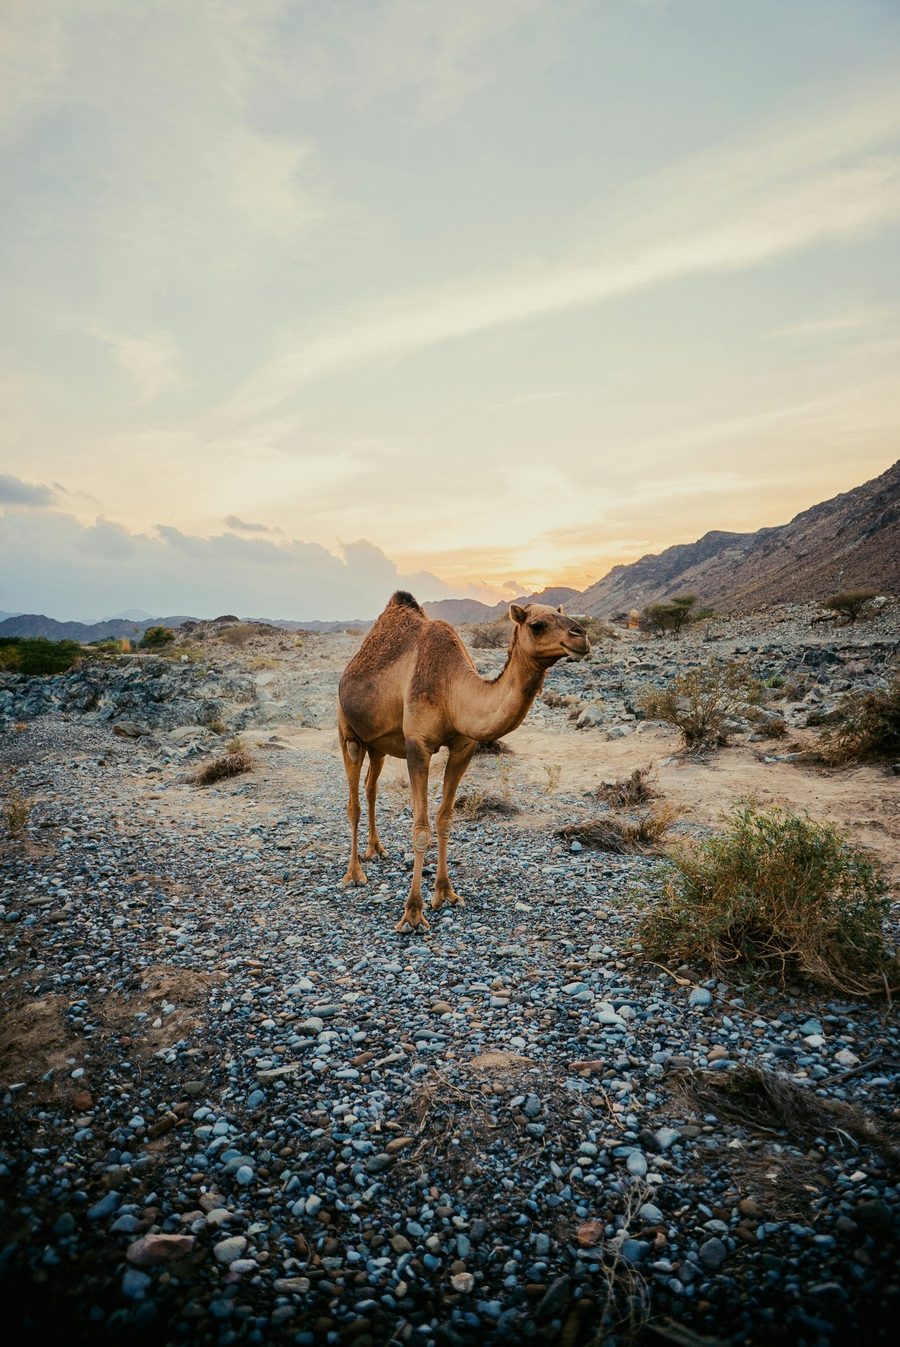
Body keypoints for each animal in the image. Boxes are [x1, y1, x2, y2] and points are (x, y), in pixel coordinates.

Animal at [337, 591, 590, 932]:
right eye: (537, 625)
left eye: (563, 615)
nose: (581, 637)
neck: (451, 690)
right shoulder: (418, 745)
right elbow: (420, 828)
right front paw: (413, 913)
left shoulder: (463, 747)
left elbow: (445, 819)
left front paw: (445, 894)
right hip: (348, 731)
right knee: (353, 801)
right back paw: (354, 874)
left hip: (378, 744)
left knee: (370, 787)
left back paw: (375, 850)